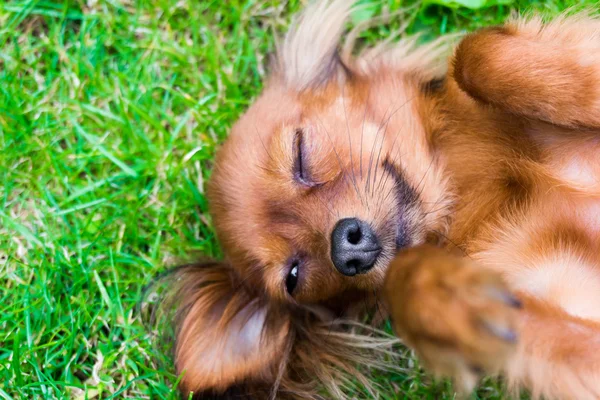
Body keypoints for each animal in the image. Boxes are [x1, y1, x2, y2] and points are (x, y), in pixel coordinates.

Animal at [162, 1, 600, 398]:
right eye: (293, 277)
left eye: (300, 155)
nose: (345, 249)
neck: (467, 189)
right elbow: (410, 278)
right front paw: (450, 300)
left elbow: (475, 55)